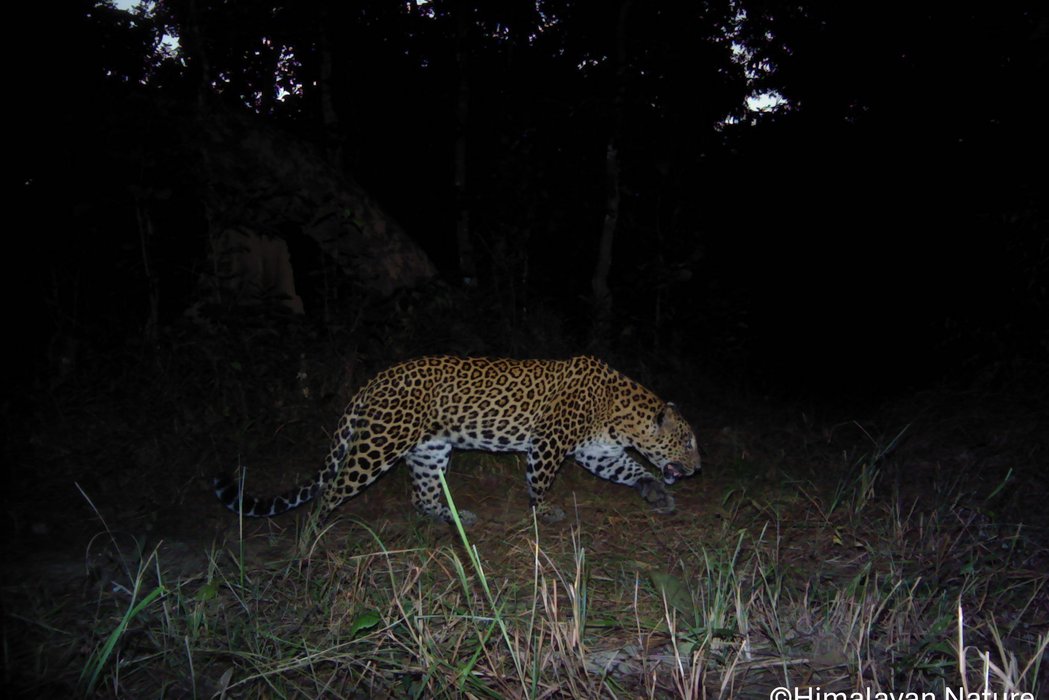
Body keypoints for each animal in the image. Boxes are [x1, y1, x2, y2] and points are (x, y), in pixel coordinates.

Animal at [215, 355, 700, 526]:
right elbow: (541, 481)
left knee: (422, 494)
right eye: (689, 442)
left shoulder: (597, 451)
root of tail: (373, 382)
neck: (620, 413)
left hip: (431, 449)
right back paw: (312, 536)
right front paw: (545, 511)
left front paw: (657, 495)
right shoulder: (548, 443)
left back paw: (450, 516)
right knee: (333, 488)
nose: (698, 468)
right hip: (377, 445)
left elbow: (632, 468)